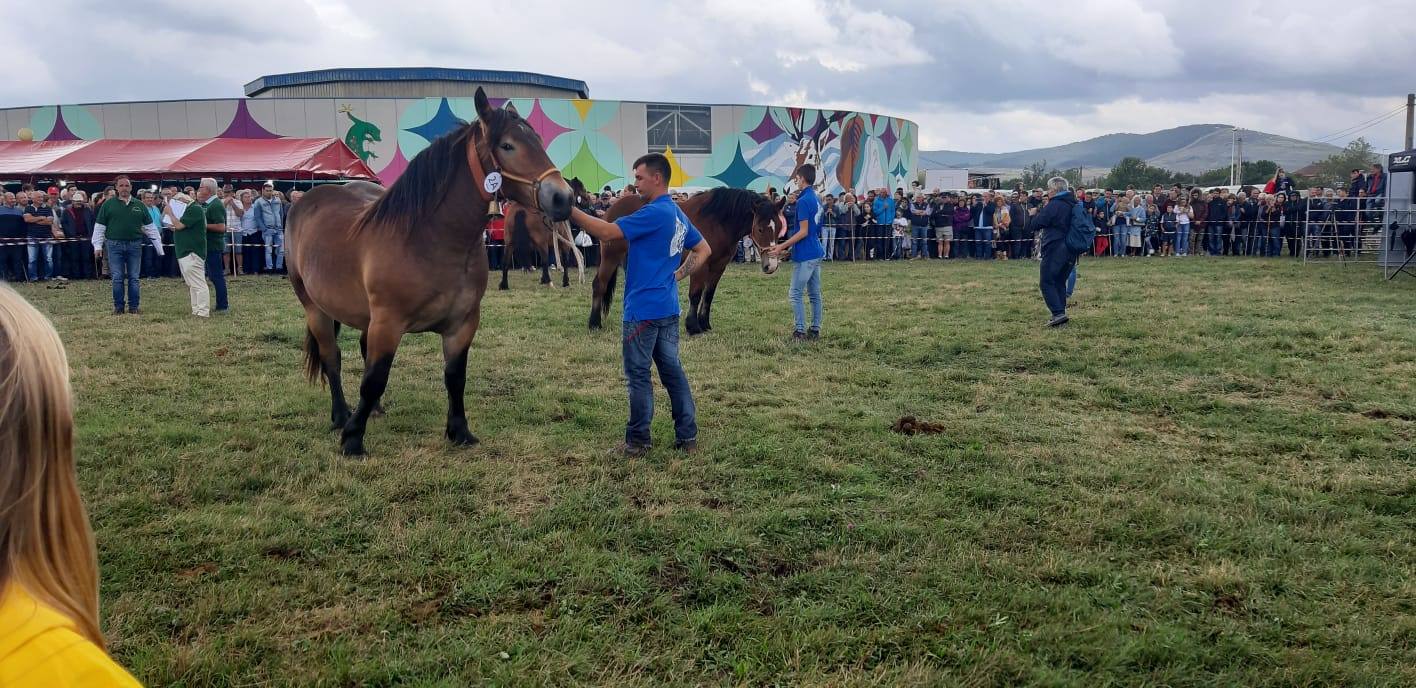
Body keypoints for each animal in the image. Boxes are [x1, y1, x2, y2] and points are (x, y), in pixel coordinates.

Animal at [287, 89, 574, 455]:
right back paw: (340, 415)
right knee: (331, 358)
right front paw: (352, 439)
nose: (563, 198)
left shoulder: (462, 324)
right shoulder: (388, 323)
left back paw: (375, 410)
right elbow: (374, 379)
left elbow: (455, 377)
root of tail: (308, 198)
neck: (430, 239)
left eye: (538, 140)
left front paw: (459, 431)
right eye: (508, 145)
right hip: (315, 308)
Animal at [586, 189, 787, 334]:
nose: (771, 265)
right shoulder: (701, 266)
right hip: (611, 257)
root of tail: (611, 210)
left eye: (779, 227)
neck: (717, 222)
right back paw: (594, 323)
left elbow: (708, 295)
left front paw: (705, 323)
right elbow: (696, 295)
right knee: (599, 284)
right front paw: (693, 326)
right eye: (760, 229)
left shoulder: (718, 267)